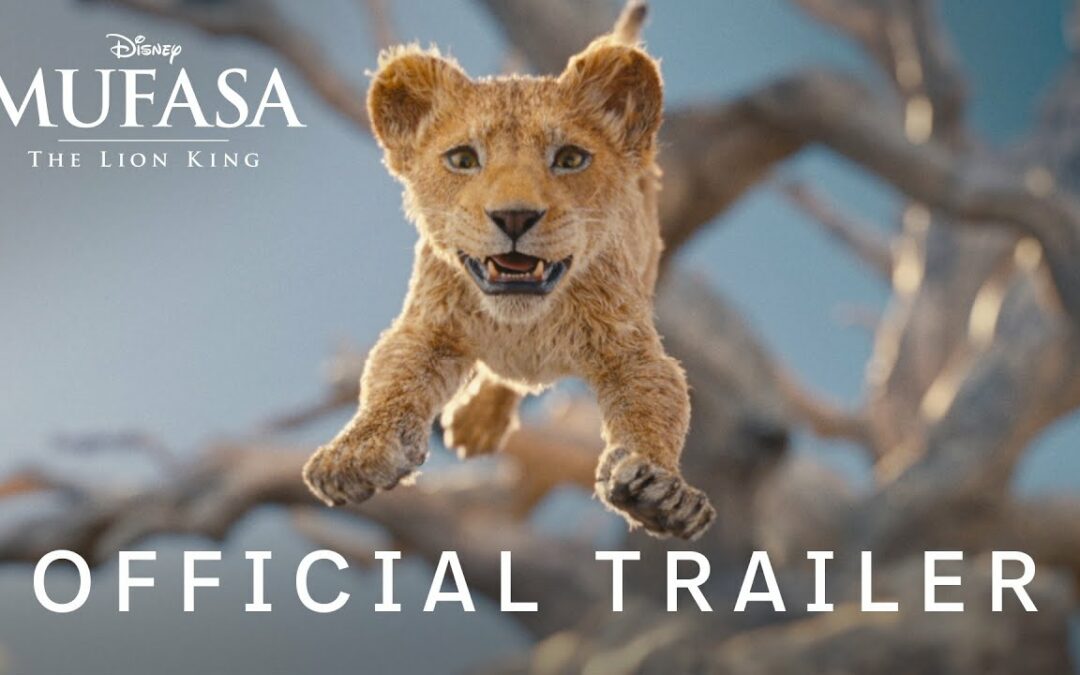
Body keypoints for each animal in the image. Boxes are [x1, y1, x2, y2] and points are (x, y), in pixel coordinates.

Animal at [301, 33, 716, 540]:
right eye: (463, 159)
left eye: (570, 159)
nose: (515, 217)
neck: (525, 324)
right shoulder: (428, 326)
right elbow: (390, 380)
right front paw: (355, 454)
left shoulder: (630, 348)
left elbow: (655, 406)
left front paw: (660, 491)